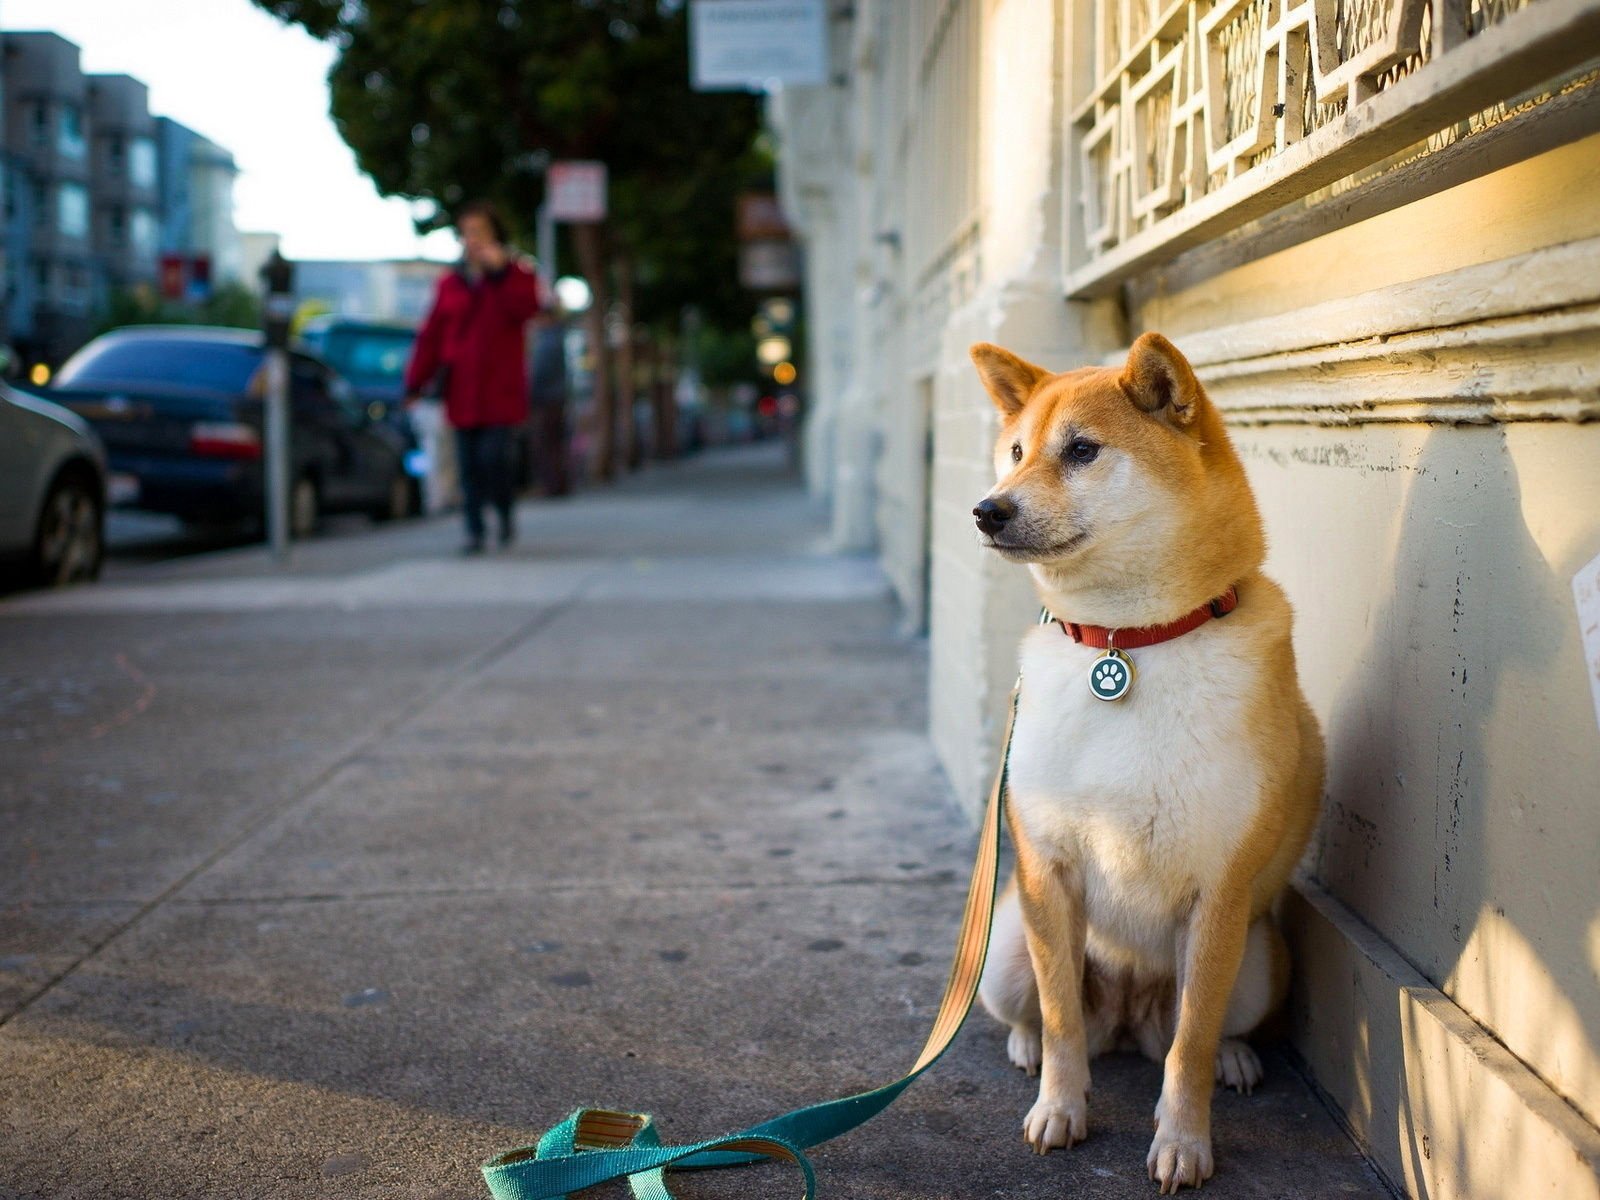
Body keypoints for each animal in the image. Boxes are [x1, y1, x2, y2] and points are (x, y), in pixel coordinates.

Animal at [960, 336, 1324, 1196]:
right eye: (1016, 452)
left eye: (1082, 451)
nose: (988, 509)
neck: (1127, 644)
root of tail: (1127, 1019)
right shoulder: (1049, 871)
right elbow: (1062, 1016)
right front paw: (1060, 1107)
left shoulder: (1220, 895)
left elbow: (1189, 1045)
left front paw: (1184, 1142)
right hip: (1005, 947)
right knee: (1047, 1013)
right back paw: (1027, 1047)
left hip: (1261, 958)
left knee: (1195, 1032)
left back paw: (1235, 1057)